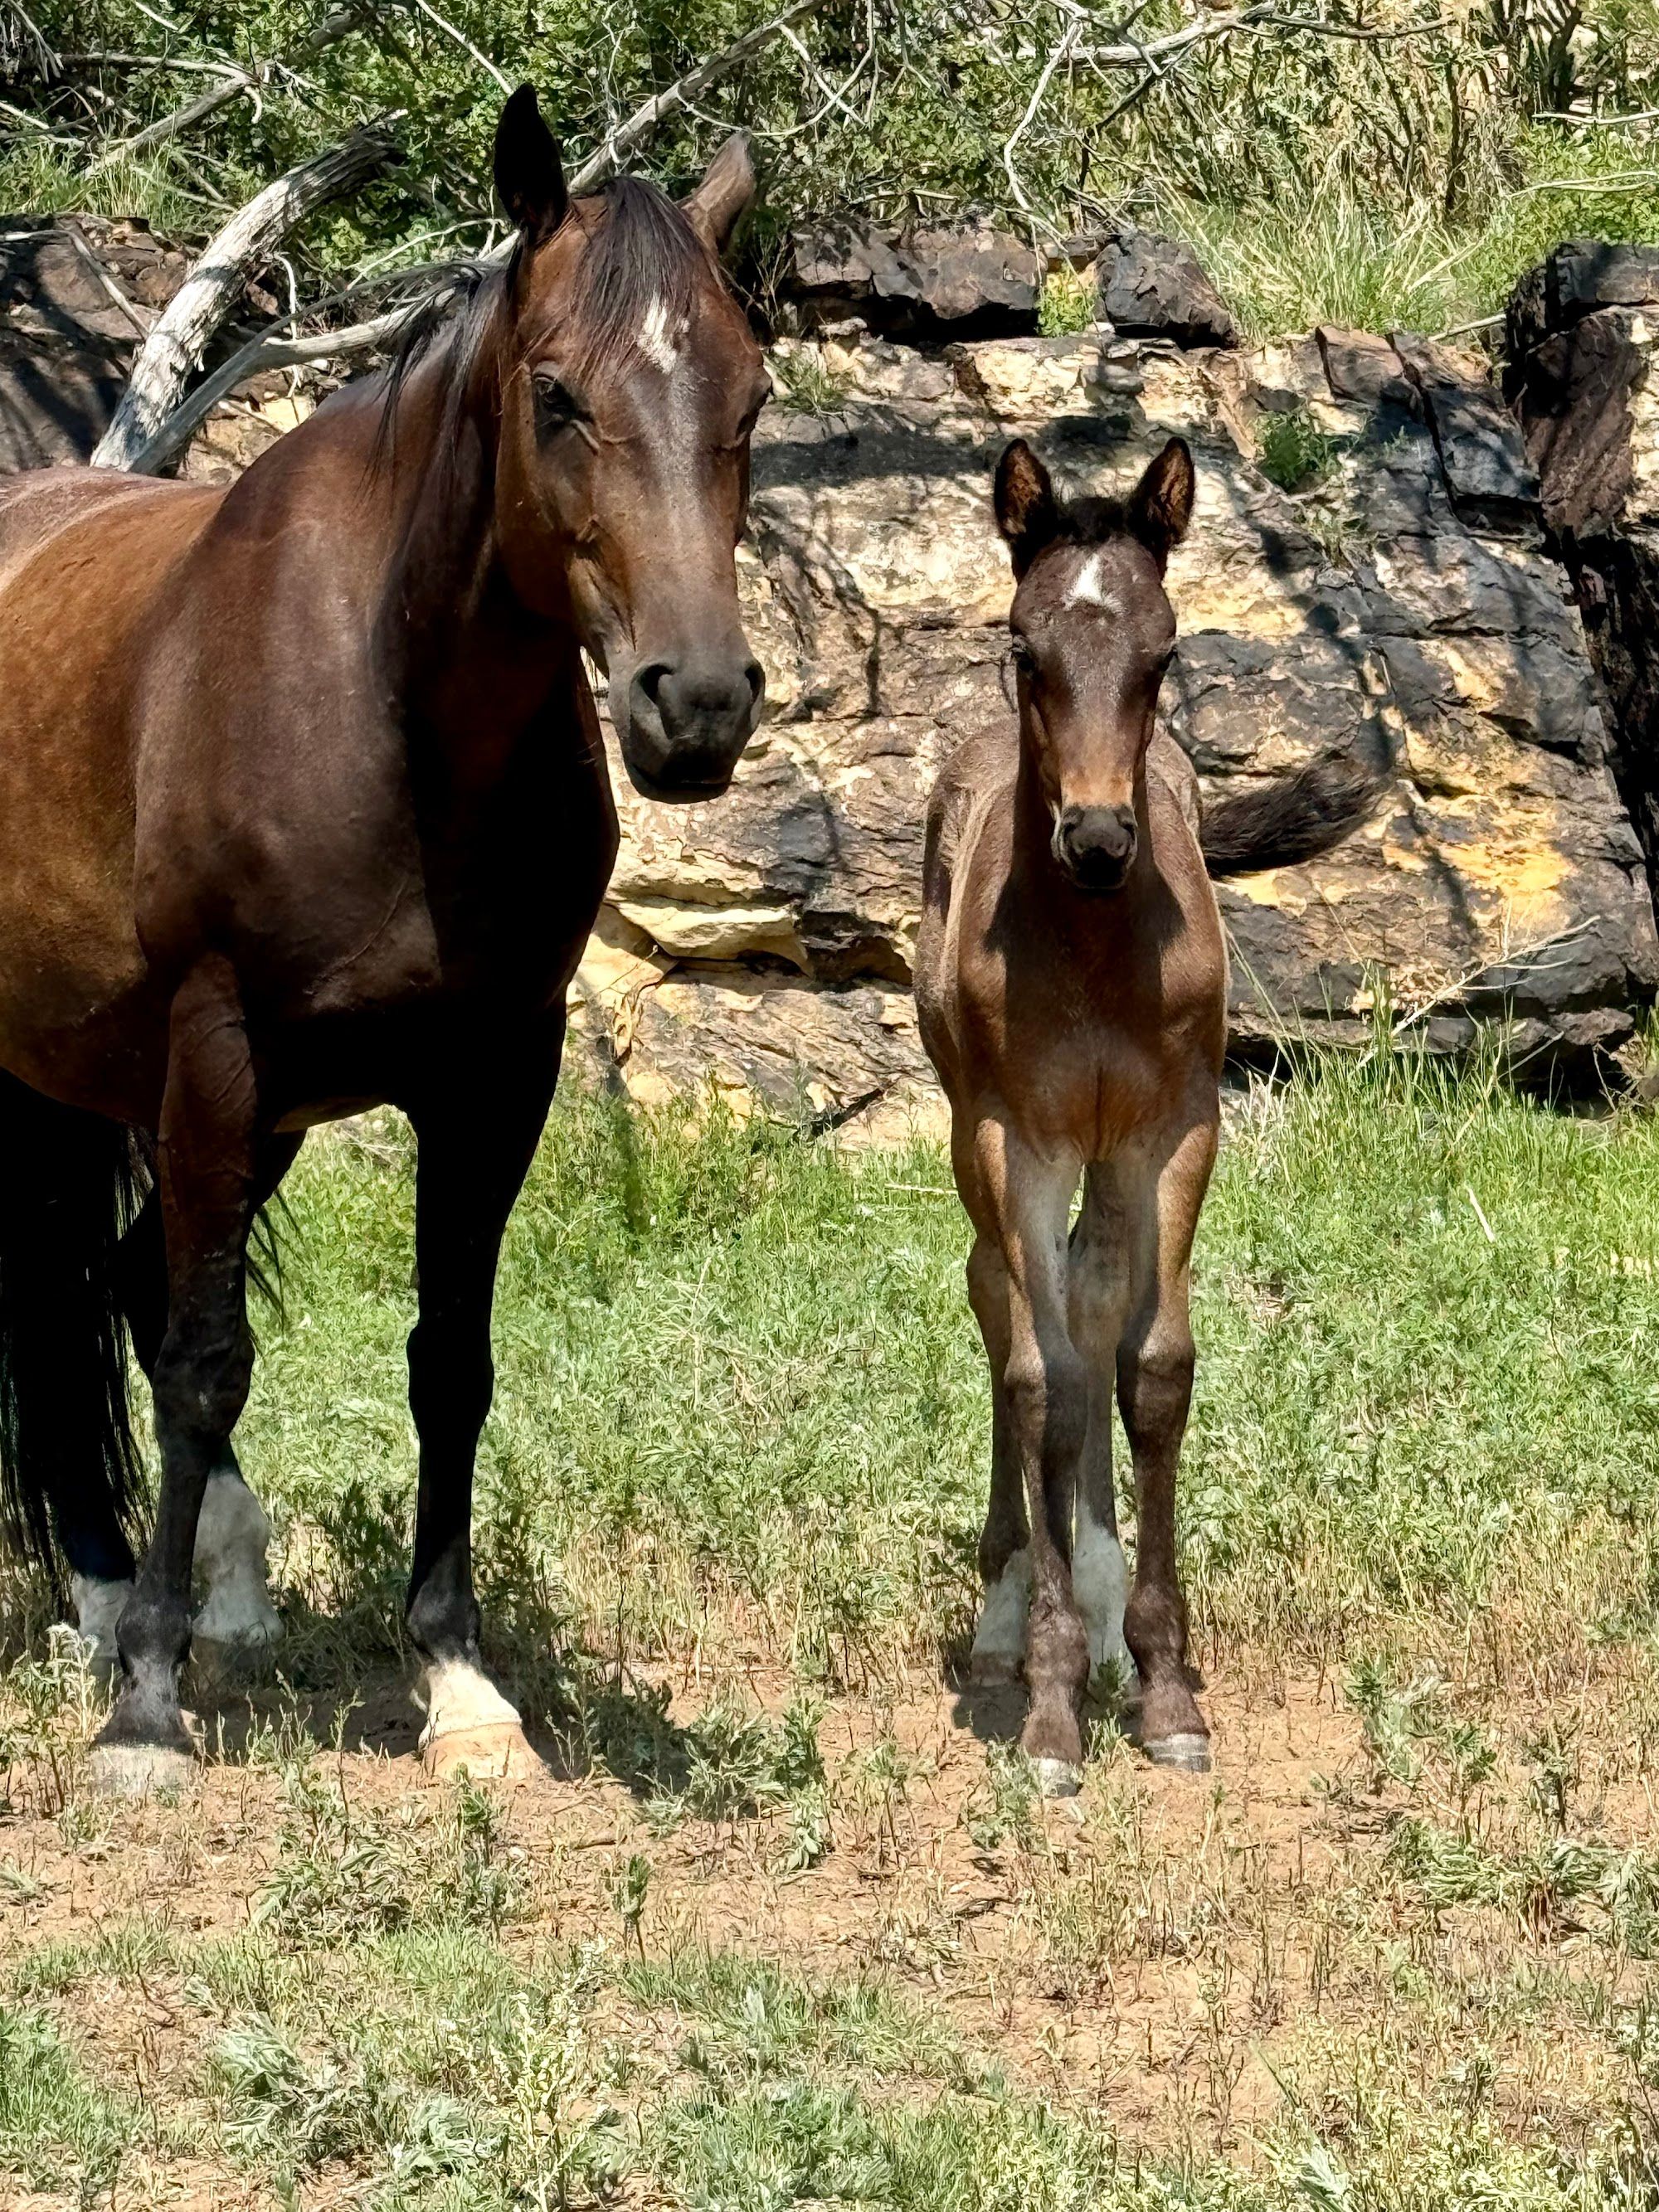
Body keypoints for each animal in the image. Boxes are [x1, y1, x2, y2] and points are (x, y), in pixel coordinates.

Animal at [0, 85, 771, 1794]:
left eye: (751, 396)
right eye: (557, 393)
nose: (696, 703)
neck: (383, 700)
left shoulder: (492, 1074)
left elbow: (447, 1362)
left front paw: (461, 1680)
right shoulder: (215, 1048)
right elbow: (205, 1358)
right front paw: (147, 1710)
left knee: (114, 1284)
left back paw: (212, 1585)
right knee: (76, 1309)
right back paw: (110, 1599)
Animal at [915, 435, 1380, 1793]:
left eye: (1164, 653)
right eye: (1025, 647)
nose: (1097, 836)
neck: (1094, 947)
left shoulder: (1172, 1130)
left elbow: (1151, 1369)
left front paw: (1164, 1679)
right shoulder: (1018, 1140)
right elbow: (1043, 1380)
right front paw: (1052, 1700)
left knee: (1093, 1296)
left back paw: (1105, 1594)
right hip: (974, 1137)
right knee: (1004, 1307)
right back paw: (1011, 1612)